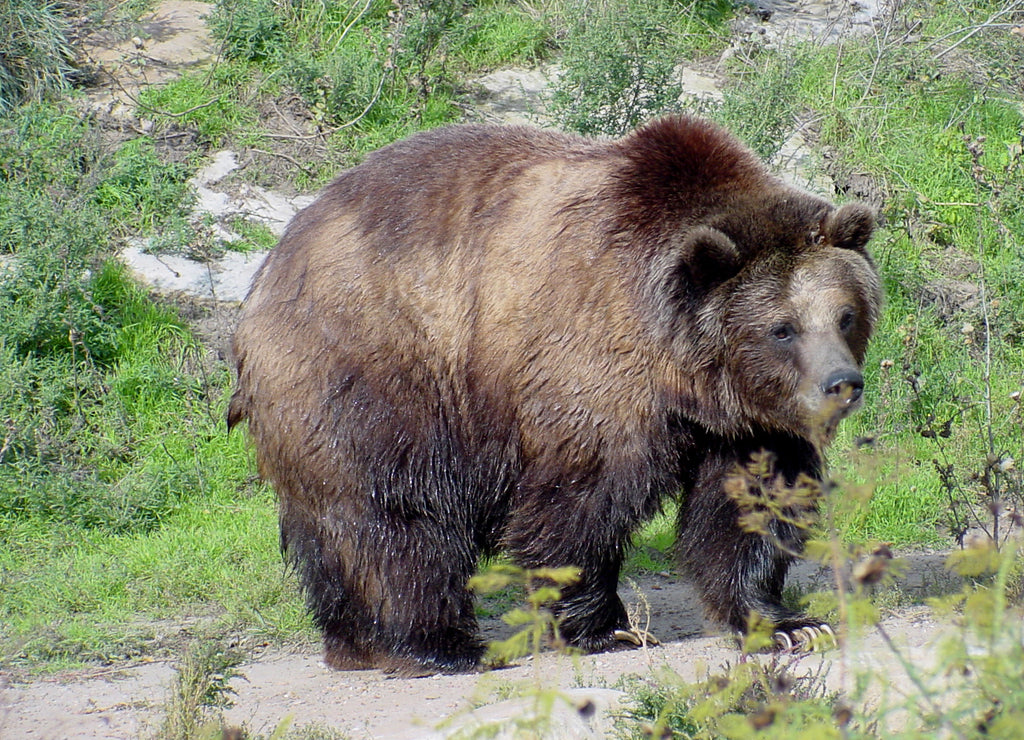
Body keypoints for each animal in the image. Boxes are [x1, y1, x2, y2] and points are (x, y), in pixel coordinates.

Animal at [230, 115, 880, 675]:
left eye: (845, 315)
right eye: (783, 328)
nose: (841, 384)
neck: (686, 370)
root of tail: (268, 272)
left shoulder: (749, 420)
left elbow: (751, 505)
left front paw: (790, 624)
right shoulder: (589, 363)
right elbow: (580, 505)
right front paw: (605, 628)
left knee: (331, 530)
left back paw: (353, 643)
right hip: (376, 367)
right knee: (399, 515)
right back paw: (438, 644)